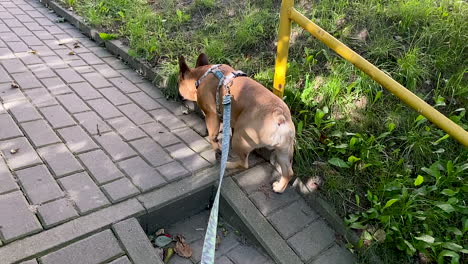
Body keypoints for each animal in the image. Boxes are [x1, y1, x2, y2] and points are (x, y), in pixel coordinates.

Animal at [177, 54, 294, 194]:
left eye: (178, 82)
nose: (178, 95)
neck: (200, 75)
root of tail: (279, 115)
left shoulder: (211, 115)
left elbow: (212, 136)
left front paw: (217, 148)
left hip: (241, 139)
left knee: (244, 164)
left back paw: (227, 164)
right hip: (284, 151)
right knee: (288, 172)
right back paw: (279, 187)